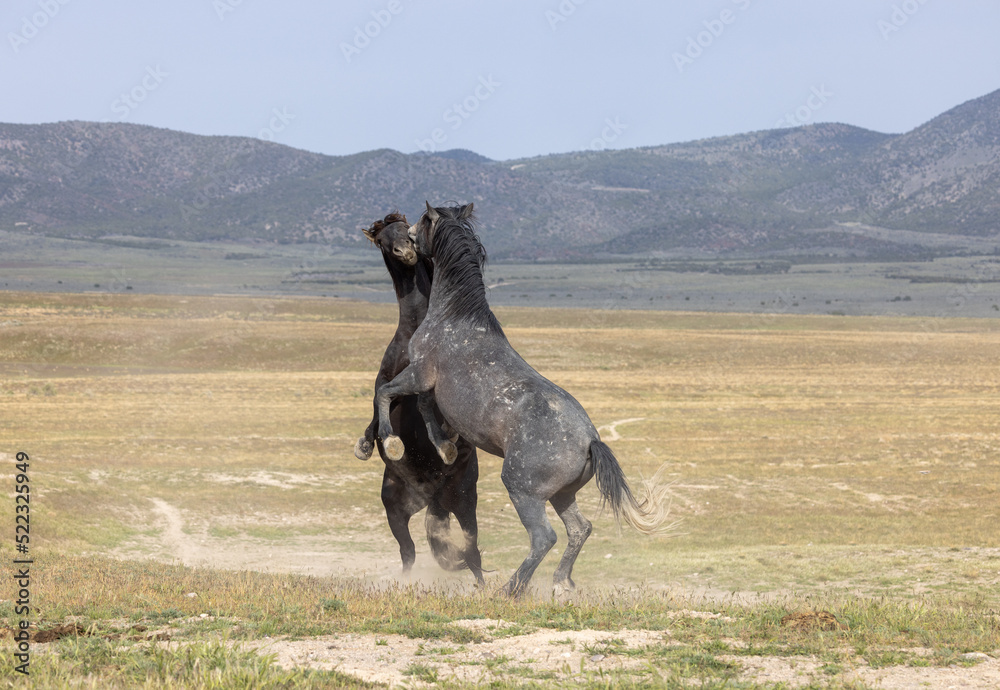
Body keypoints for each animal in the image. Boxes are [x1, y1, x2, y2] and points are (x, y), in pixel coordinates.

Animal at [354, 211, 484, 585]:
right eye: (382, 240)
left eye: (407, 228)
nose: (407, 251)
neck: (417, 328)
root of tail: (431, 496)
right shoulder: (386, 381)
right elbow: (378, 406)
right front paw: (377, 444)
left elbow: (430, 409)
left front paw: (444, 443)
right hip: (395, 509)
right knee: (409, 551)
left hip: (464, 502)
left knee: (473, 553)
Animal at [375, 202, 673, 597]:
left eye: (423, 222)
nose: (408, 240)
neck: (454, 319)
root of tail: (591, 442)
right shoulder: (430, 387)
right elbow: (425, 411)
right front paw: (445, 446)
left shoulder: (421, 374)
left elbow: (387, 394)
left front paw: (392, 442)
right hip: (562, 495)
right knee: (580, 529)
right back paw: (561, 583)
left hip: (523, 491)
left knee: (544, 537)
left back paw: (511, 589)